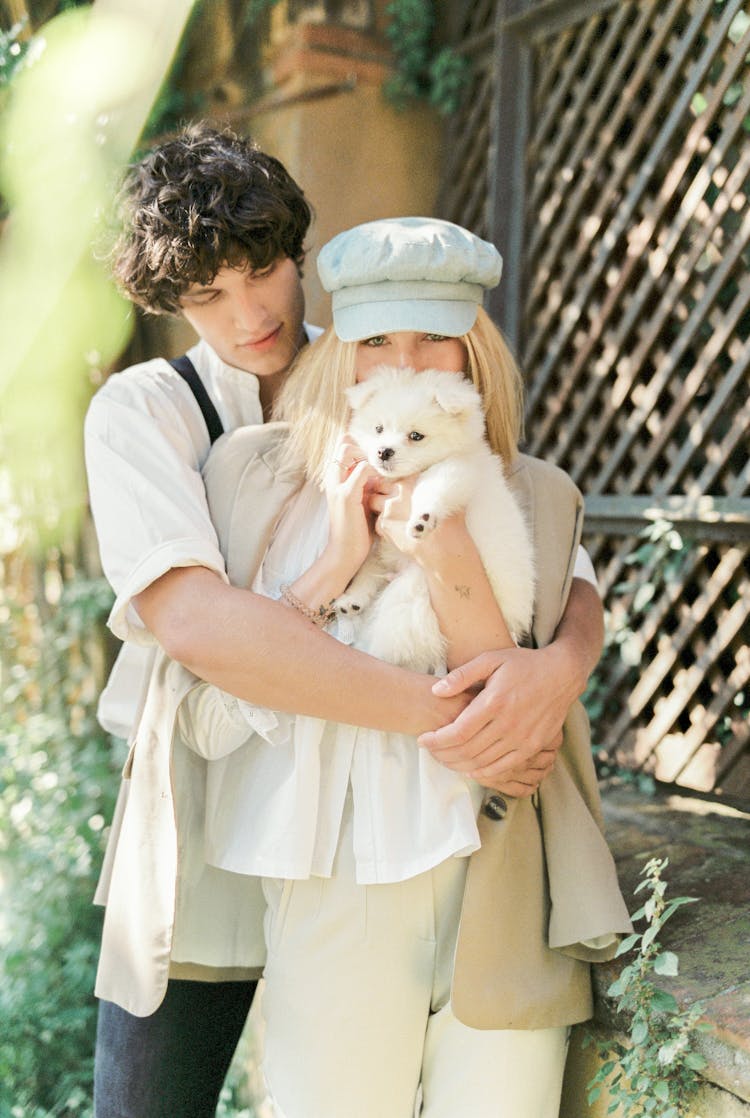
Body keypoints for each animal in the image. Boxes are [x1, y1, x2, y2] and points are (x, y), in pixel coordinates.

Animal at [337, 366, 536, 670]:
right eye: (379, 429)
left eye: (416, 436)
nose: (384, 451)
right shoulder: (381, 543)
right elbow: (367, 566)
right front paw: (353, 594)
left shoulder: (456, 470)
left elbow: (432, 488)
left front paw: (422, 517)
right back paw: (353, 601)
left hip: (414, 592)